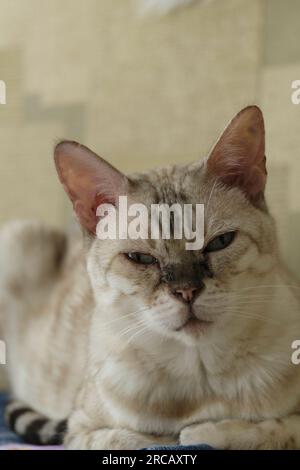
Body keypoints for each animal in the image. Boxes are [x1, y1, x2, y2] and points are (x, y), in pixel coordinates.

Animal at [0, 105, 300, 448]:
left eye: (220, 242)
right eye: (141, 258)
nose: (187, 291)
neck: (199, 371)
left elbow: (263, 430)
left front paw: (203, 430)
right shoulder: (82, 432)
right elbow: (146, 440)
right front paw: (184, 433)